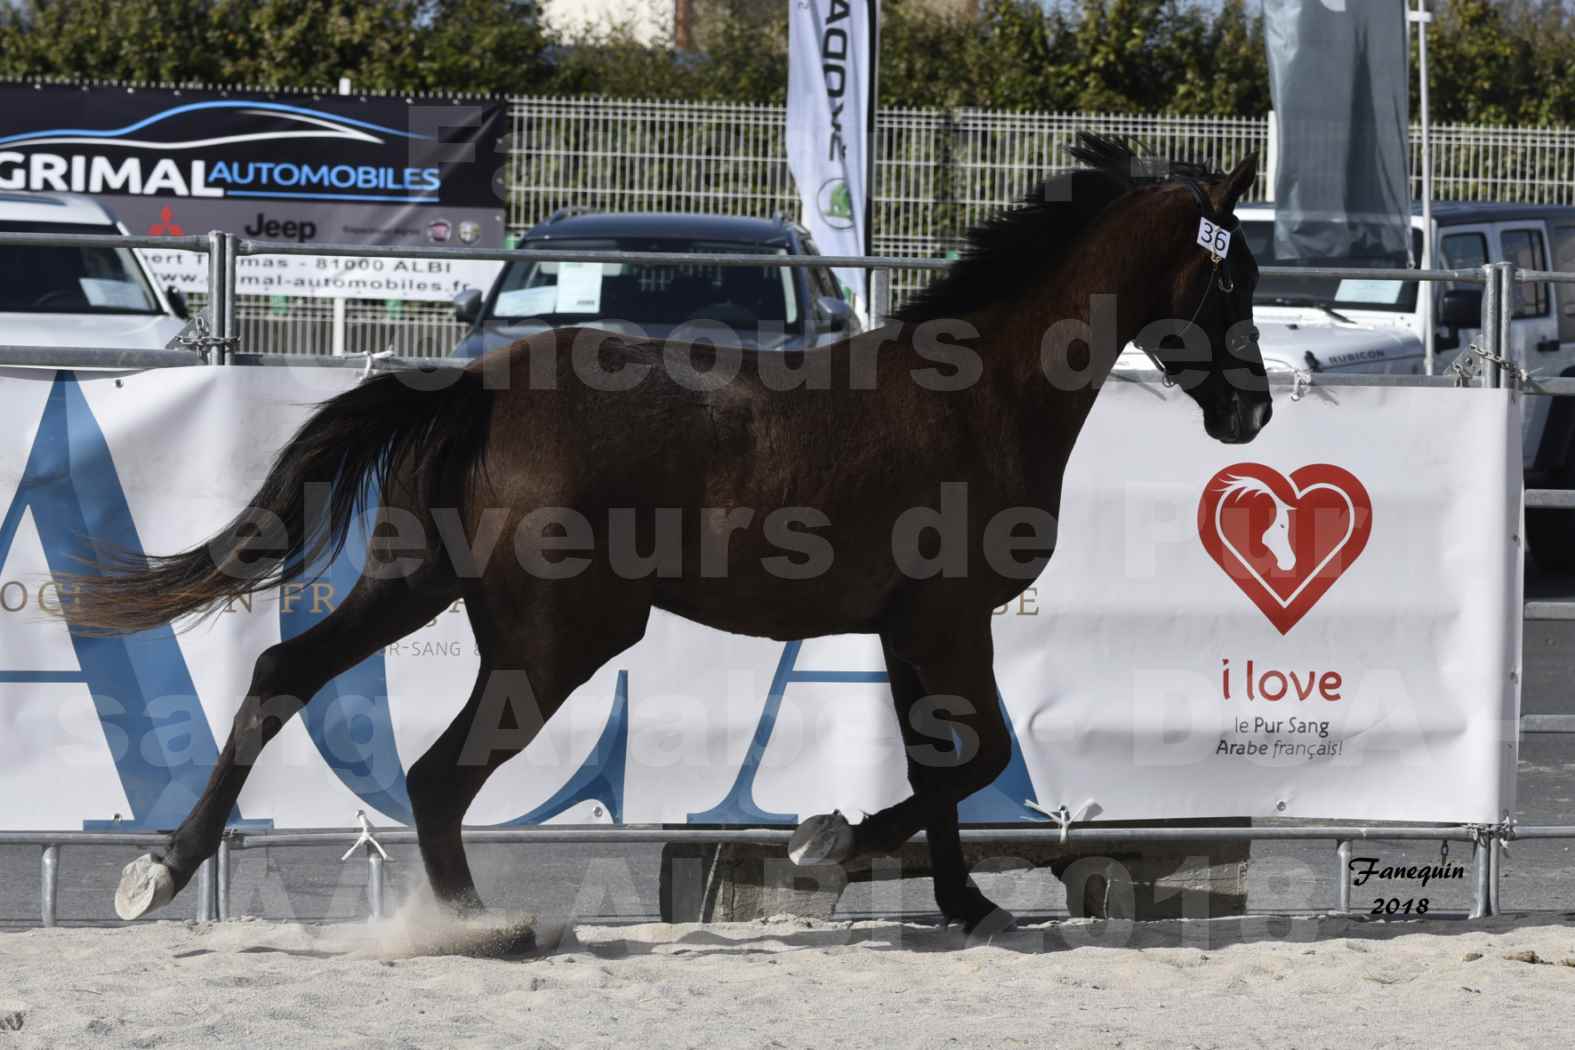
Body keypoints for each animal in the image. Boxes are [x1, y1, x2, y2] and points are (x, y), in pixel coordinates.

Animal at [61, 133, 1272, 938]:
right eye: (1233, 273)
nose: (1251, 413)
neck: (976, 395)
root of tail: (476, 388)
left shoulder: (902, 629)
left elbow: (939, 765)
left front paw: (967, 905)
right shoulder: (948, 618)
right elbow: (971, 757)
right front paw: (826, 846)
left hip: (416, 585)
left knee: (282, 677)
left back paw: (159, 874)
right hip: (557, 638)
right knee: (436, 774)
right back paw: (475, 927)